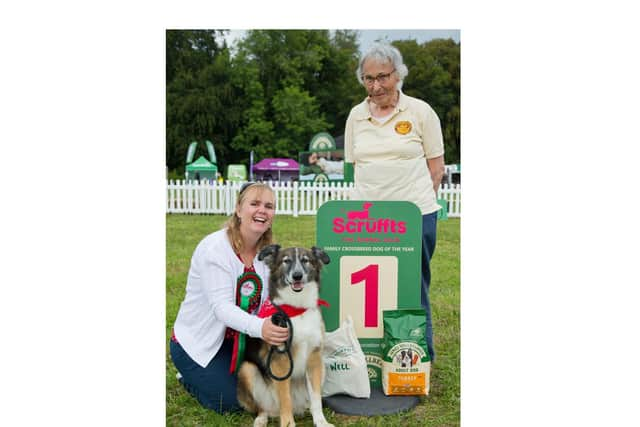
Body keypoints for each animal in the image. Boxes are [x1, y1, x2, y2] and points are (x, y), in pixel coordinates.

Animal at [236, 246, 336, 427]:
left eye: (305, 260)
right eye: (286, 261)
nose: (297, 275)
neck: (297, 308)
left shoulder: (314, 358)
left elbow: (316, 398)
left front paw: (320, 421)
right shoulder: (280, 361)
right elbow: (285, 398)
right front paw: (288, 424)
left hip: (323, 368)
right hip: (247, 369)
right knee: (263, 407)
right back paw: (261, 419)